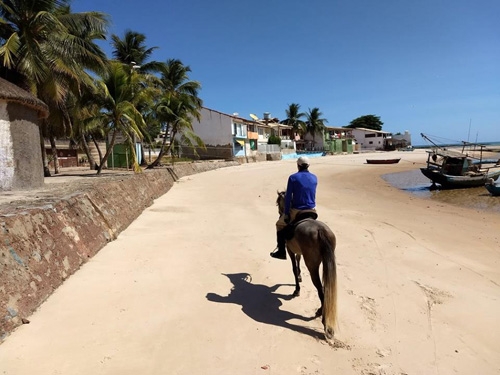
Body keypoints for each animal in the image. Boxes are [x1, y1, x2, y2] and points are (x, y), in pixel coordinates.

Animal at [276, 191, 338, 340]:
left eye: (277, 203)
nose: (280, 213)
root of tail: (320, 230)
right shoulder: (298, 251)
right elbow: (298, 262)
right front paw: (299, 277)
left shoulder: (290, 249)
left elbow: (294, 268)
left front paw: (296, 290)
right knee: (325, 288)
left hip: (312, 265)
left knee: (320, 289)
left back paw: (324, 320)